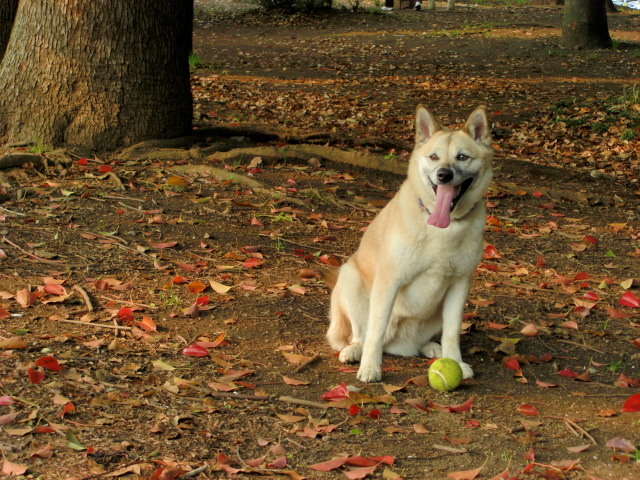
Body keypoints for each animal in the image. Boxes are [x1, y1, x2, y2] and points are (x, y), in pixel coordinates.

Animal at [326, 105, 493, 383]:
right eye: (434, 157)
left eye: (462, 157)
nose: (444, 175)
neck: (442, 228)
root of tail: (397, 344)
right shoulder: (388, 282)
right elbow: (375, 331)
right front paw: (371, 367)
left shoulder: (459, 285)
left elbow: (452, 333)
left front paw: (456, 362)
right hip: (349, 279)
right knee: (362, 334)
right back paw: (355, 350)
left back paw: (431, 348)